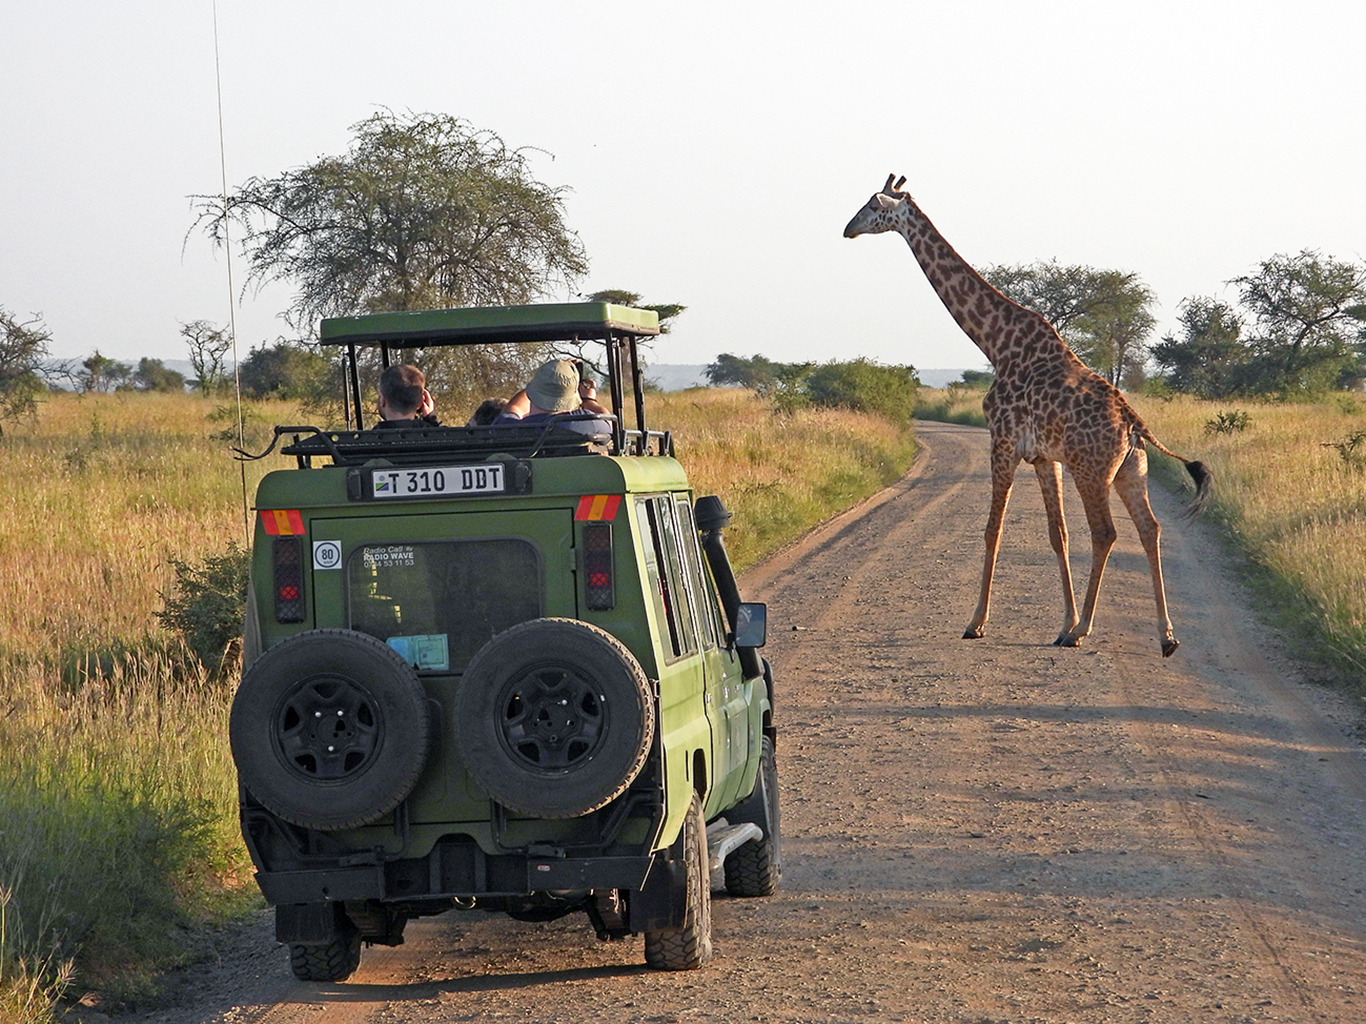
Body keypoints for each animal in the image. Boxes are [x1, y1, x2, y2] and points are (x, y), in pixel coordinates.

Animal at [846, 174, 1213, 658]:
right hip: (1130, 469)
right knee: (1149, 529)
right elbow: (1058, 534)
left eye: (873, 205)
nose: (847, 229)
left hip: (1091, 470)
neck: (996, 342)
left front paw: (978, 623)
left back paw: (1085, 632)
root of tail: (1134, 421)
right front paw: (1063, 621)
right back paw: (1166, 636)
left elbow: (992, 530)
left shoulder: (1002, 442)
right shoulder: (1043, 458)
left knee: (1106, 533)